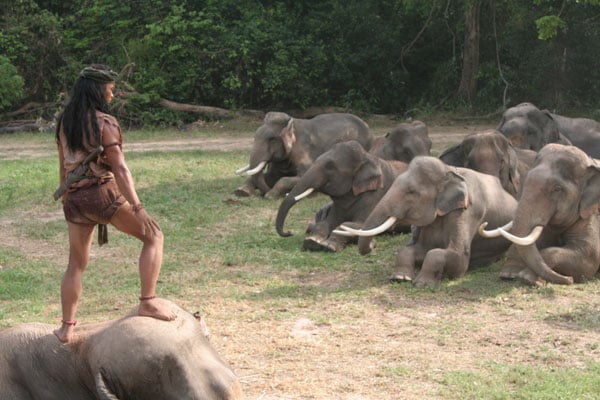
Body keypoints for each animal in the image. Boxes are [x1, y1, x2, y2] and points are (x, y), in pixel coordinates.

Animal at [233, 111, 370, 198]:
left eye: (272, 139)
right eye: (254, 136)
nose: (263, 193)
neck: (292, 124)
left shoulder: (303, 151)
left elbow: (296, 177)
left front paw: (270, 195)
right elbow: (272, 176)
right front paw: (241, 192)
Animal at [276, 141, 408, 252]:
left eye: (330, 166)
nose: (289, 232)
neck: (368, 157)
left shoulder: (376, 195)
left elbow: (356, 225)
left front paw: (329, 246)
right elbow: (327, 222)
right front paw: (311, 241)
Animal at [336, 156, 516, 288]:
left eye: (411, 192)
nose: (373, 246)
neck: (449, 170)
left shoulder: (468, 211)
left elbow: (457, 258)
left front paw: (422, 284)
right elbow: (413, 249)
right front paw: (399, 278)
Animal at [478, 145, 600, 286]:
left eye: (557, 189)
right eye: (525, 181)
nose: (569, 280)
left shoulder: (591, 217)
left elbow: (588, 260)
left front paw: (528, 278)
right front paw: (508, 275)